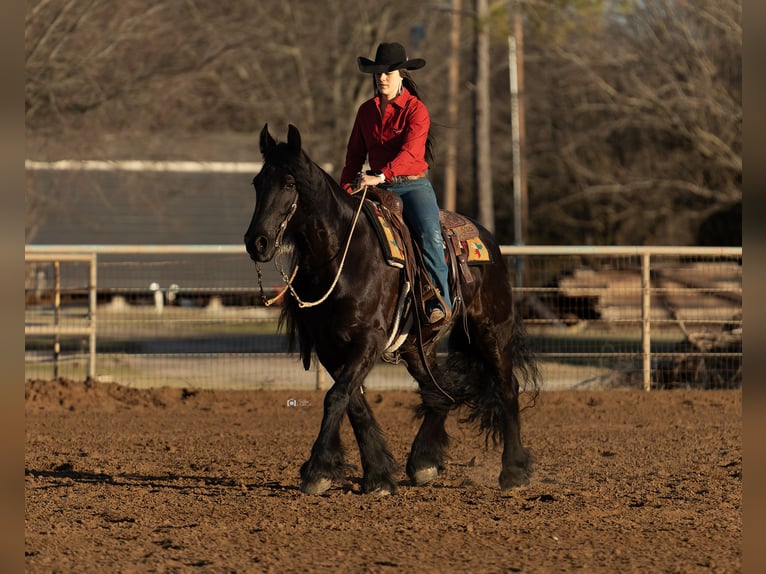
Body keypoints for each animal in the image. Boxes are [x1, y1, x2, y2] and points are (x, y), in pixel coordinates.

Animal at [246, 124, 540, 498]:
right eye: (257, 182)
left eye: (287, 183)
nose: (256, 242)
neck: (343, 255)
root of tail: (488, 240)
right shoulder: (330, 346)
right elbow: (352, 402)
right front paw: (378, 474)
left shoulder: (369, 339)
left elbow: (336, 397)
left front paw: (317, 472)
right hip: (417, 345)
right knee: (439, 393)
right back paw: (424, 462)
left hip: (493, 328)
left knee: (506, 388)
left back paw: (513, 471)